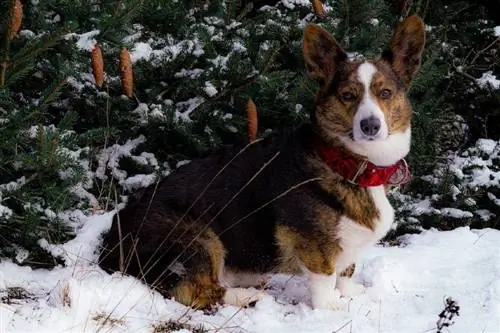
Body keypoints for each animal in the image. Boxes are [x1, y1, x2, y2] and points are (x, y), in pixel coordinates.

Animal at [98, 14, 426, 308]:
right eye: (348, 96)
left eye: (386, 93)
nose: (370, 125)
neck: (346, 162)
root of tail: (111, 246)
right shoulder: (316, 248)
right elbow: (325, 281)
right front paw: (332, 309)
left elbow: (347, 272)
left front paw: (350, 294)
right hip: (197, 235)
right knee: (195, 291)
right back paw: (246, 295)